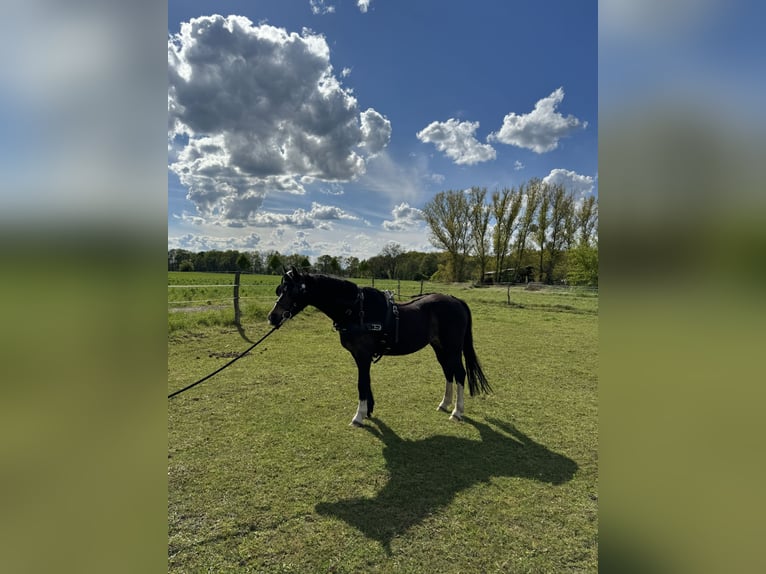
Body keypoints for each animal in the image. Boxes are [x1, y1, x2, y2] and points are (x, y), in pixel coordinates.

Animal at [268, 266, 492, 428]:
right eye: (280, 290)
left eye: (293, 291)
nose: (272, 317)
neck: (356, 310)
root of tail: (455, 300)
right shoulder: (361, 357)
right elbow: (365, 382)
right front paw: (368, 411)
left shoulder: (363, 355)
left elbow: (361, 383)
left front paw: (359, 416)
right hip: (440, 348)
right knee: (448, 373)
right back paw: (444, 404)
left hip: (452, 349)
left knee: (459, 374)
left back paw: (457, 412)